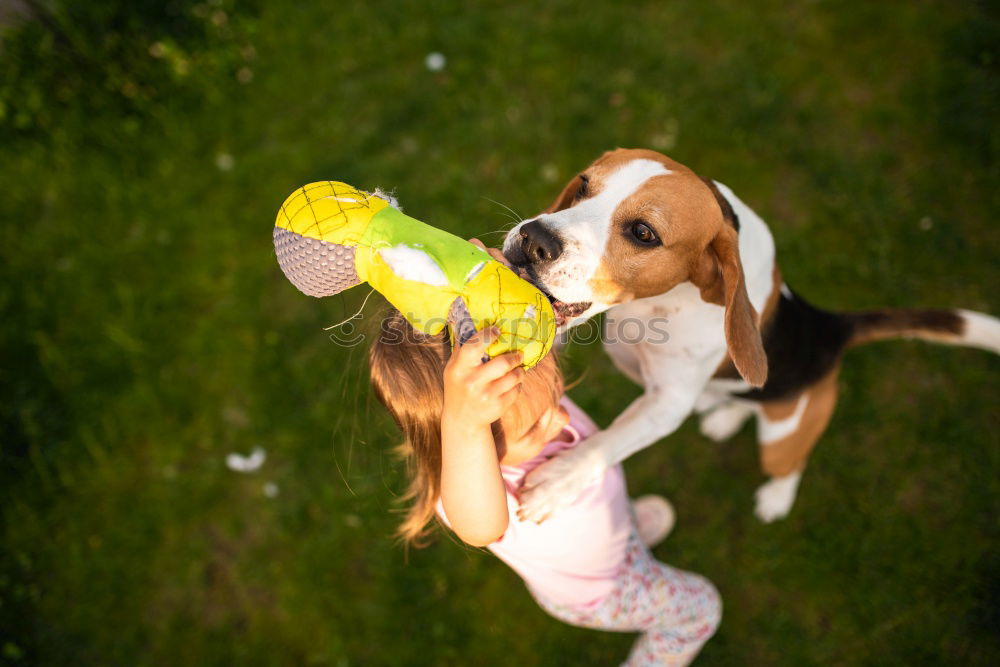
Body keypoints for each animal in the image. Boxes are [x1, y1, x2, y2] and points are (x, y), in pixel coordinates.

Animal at [508, 149, 1000, 524]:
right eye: (582, 185)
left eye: (643, 233)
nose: (534, 239)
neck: (657, 304)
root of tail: (830, 327)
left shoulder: (667, 404)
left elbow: (608, 443)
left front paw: (558, 482)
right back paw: (726, 416)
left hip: (783, 441)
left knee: (790, 464)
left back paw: (777, 497)